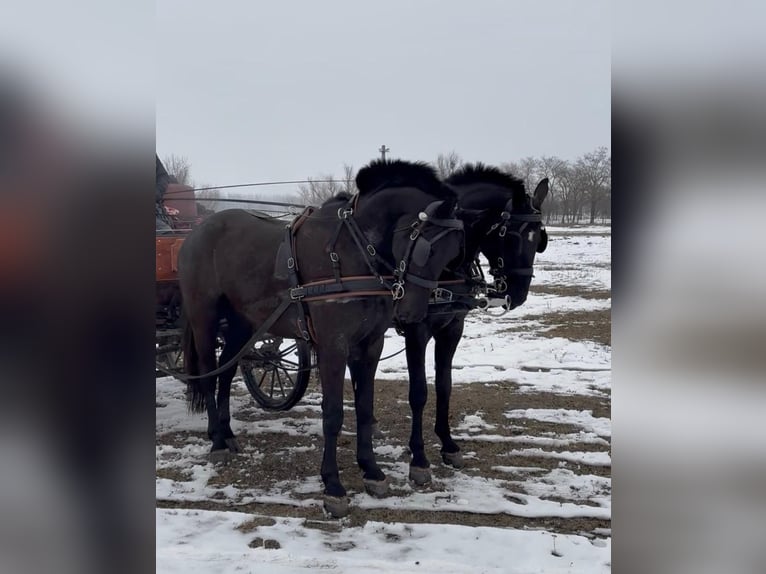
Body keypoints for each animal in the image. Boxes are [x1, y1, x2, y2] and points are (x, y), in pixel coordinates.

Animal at [177, 159, 465, 517]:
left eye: (453, 251)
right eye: (427, 247)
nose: (414, 312)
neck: (353, 251)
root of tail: (197, 232)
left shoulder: (370, 344)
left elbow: (365, 407)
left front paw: (372, 471)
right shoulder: (333, 346)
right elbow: (333, 413)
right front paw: (333, 486)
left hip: (243, 323)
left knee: (227, 372)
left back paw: (228, 434)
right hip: (204, 318)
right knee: (208, 373)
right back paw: (216, 440)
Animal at [396, 163, 549, 485]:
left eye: (539, 238)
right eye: (511, 236)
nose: (518, 294)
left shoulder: (452, 329)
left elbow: (444, 386)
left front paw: (448, 445)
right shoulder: (416, 332)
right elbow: (419, 392)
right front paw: (419, 458)